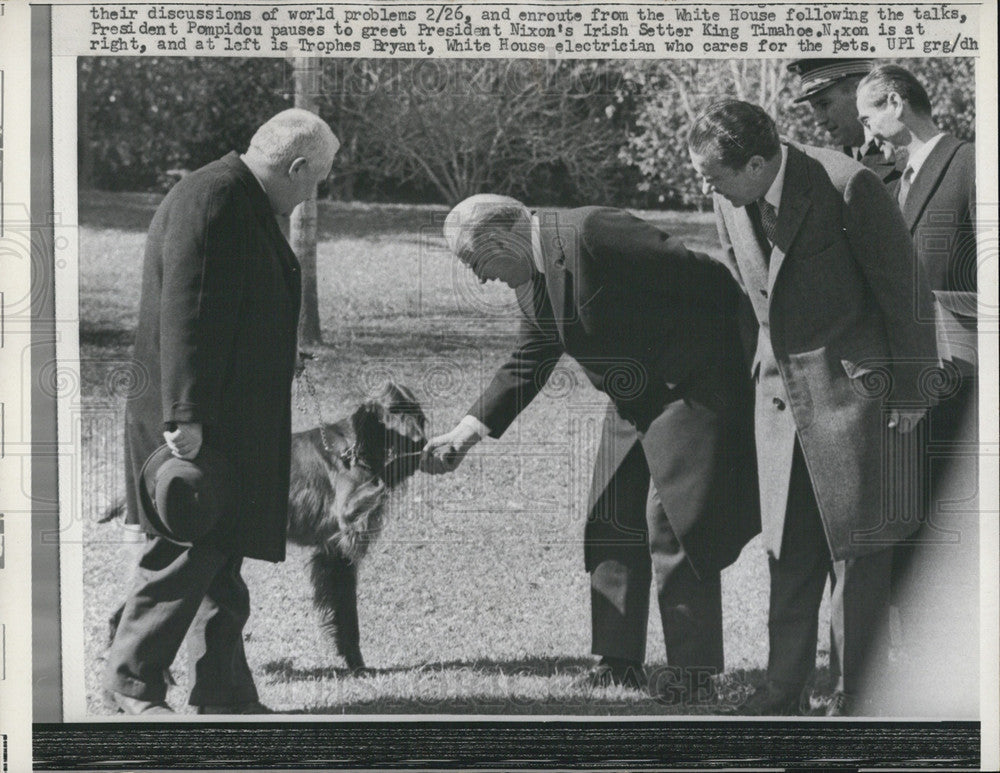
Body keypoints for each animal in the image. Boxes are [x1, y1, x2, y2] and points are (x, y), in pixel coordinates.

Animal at [102, 382, 426, 676]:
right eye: (394, 411)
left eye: (417, 414)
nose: (421, 441)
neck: (356, 446)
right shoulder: (346, 519)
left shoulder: (335, 553)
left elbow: (347, 615)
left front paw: (355, 662)